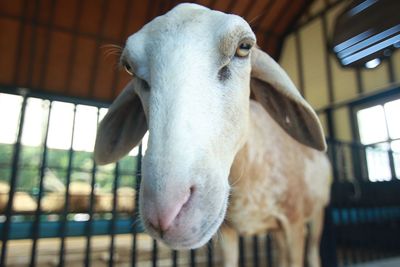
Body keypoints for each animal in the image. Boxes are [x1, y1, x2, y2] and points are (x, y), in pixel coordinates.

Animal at [94, 3, 332, 266]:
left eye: (244, 47)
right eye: (129, 67)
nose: (166, 213)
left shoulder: (294, 222)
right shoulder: (229, 231)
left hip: (317, 213)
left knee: (313, 251)